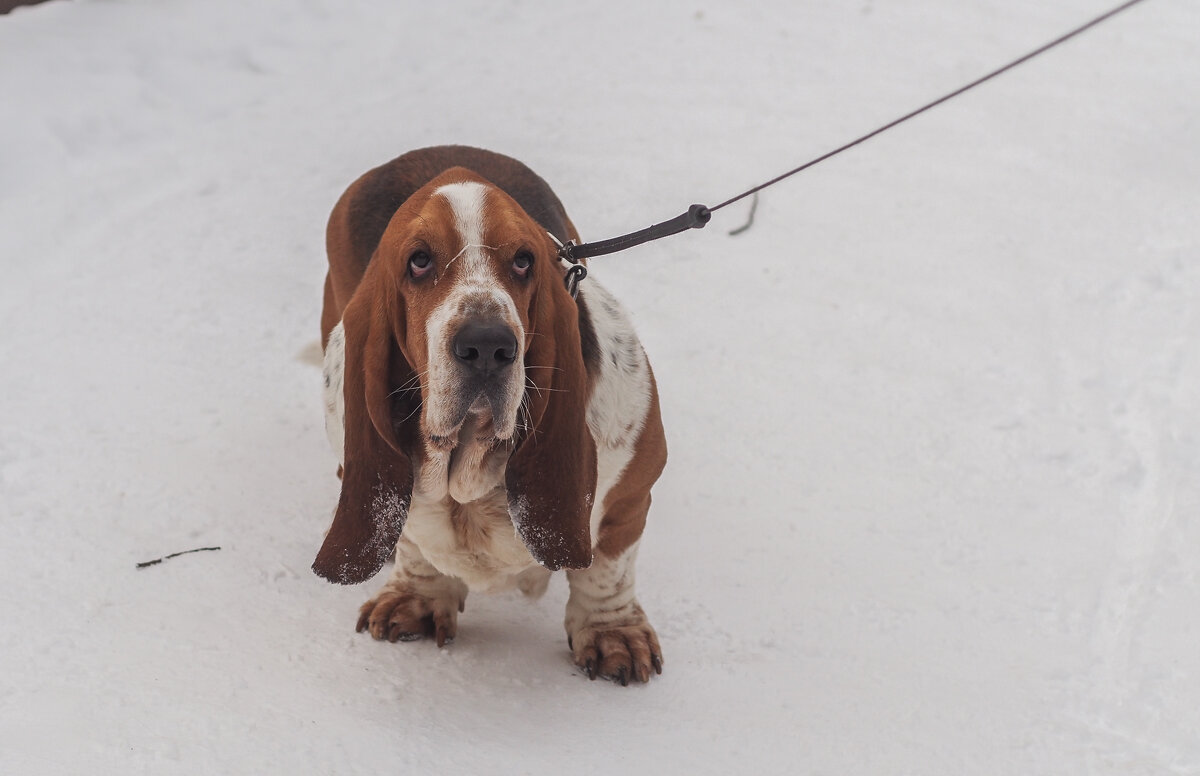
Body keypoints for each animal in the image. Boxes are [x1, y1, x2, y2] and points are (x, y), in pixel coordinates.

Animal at [314, 145, 672, 686]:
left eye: (524, 261)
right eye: (419, 261)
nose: (487, 345)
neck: (470, 470)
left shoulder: (630, 495)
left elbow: (606, 570)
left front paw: (614, 634)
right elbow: (412, 541)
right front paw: (417, 598)